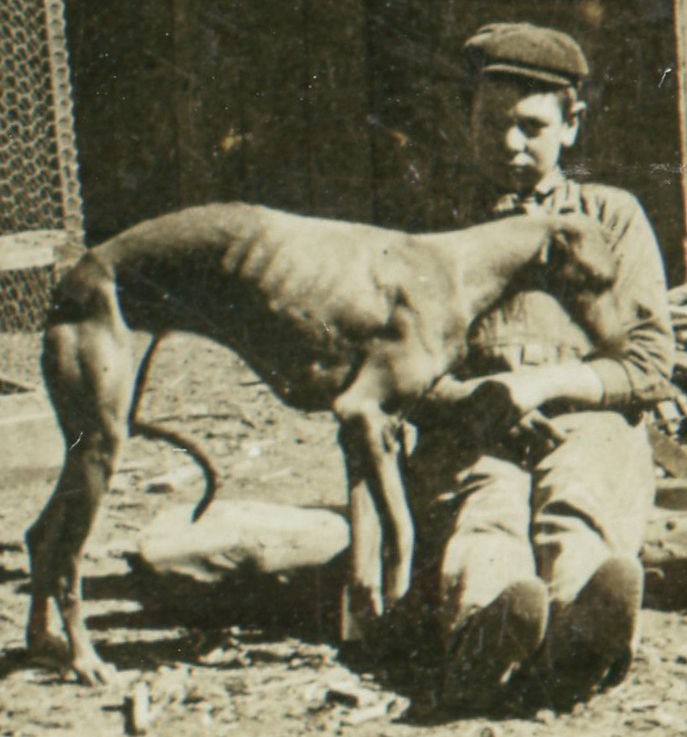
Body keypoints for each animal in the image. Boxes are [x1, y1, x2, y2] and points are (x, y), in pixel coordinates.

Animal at [25, 203, 624, 684]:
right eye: (603, 273)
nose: (626, 338)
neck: (460, 266)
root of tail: (75, 273)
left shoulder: (375, 427)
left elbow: (369, 541)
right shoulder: (360, 413)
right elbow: (401, 531)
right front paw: (397, 602)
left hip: (87, 441)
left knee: (39, 536)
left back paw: (42, 642)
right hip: (101, 442)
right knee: (68, 561)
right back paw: (84, 660)